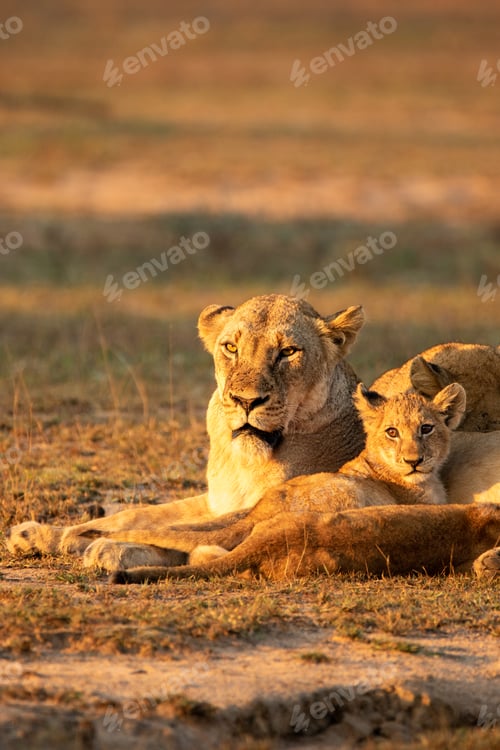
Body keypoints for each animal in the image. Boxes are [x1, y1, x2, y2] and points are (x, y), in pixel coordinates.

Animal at [6, 295, 367, 569]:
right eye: (231, 348)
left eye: (289, 352)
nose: (246, 401)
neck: (242, 461)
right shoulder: (215, 501)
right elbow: (138, 516)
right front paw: (43, 535)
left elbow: (184, 534)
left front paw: (114, 548)